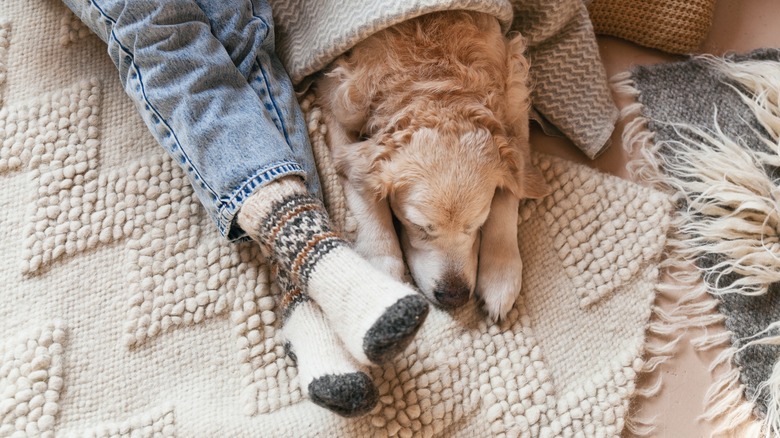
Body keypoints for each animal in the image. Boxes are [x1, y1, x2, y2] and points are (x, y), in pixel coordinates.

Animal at [316, 9, 548, 318]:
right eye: (419, 227)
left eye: (476, 224)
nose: (454, 297)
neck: (436, 82)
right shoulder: (335, 98)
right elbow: (365, 193)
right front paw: (381, 266)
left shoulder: (514, 92)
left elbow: (511, 191)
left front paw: (501, 274)